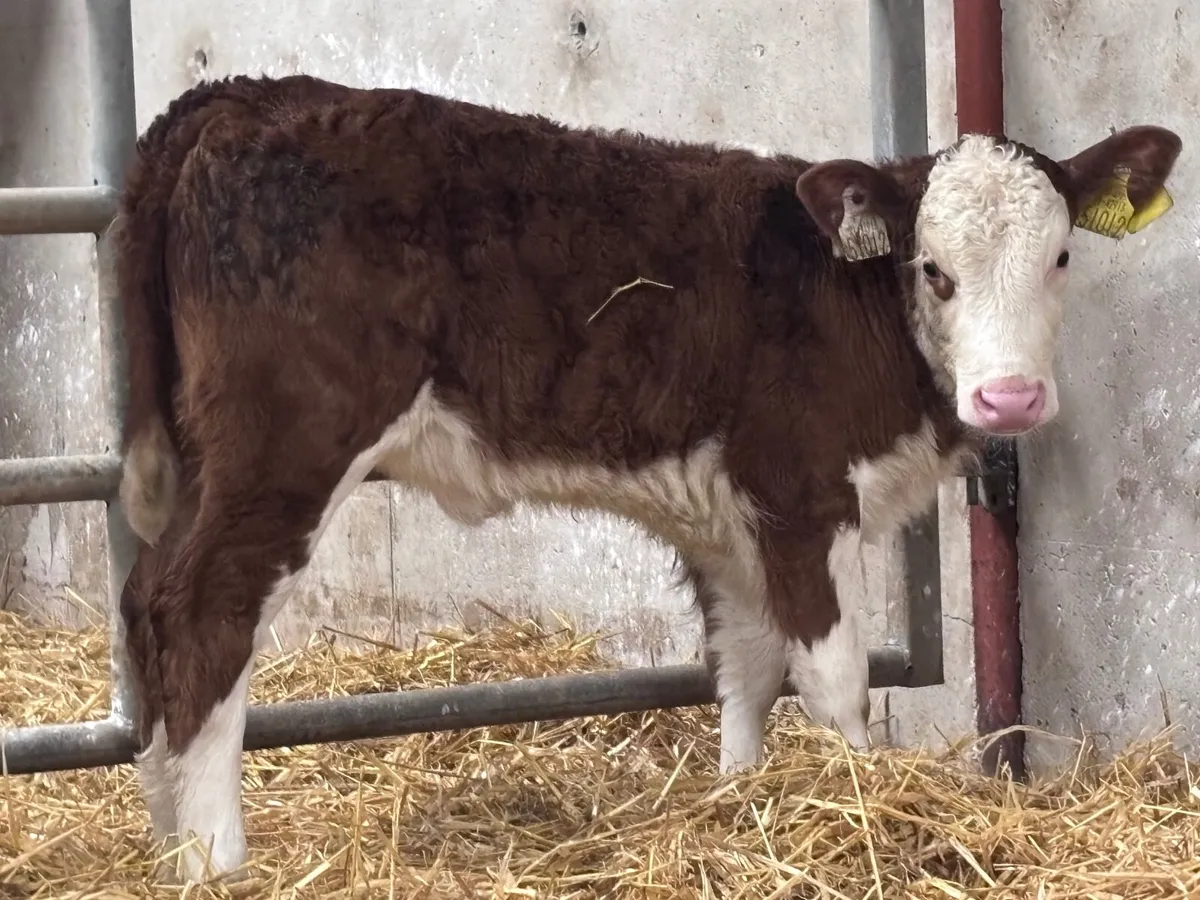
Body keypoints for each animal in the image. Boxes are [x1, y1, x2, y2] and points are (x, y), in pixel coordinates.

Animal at [111, 73, 1181, 883]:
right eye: (933, 269)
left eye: (1062, 254)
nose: (1010, 399)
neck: (850, 303)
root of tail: (239, 98)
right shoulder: (801, 491)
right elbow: (833, 677)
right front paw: (861, 808)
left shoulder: (730, 520)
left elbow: (746, 668)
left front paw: (744, 803)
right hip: (287, 448)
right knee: (200, 612)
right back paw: (215, 859)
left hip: (205, 457)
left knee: (142, 602)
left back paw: (163, 835)